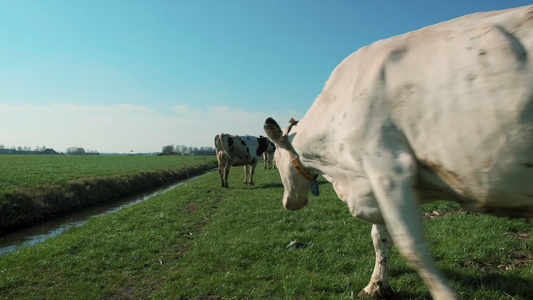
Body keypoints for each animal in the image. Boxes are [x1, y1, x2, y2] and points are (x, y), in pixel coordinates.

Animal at [262, 5, 532, 300]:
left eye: (276, 158)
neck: (341, 173)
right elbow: (380, 237)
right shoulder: (374, 181)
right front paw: (376, 285)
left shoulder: (388, 167)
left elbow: (411, 246)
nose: (288, 203)